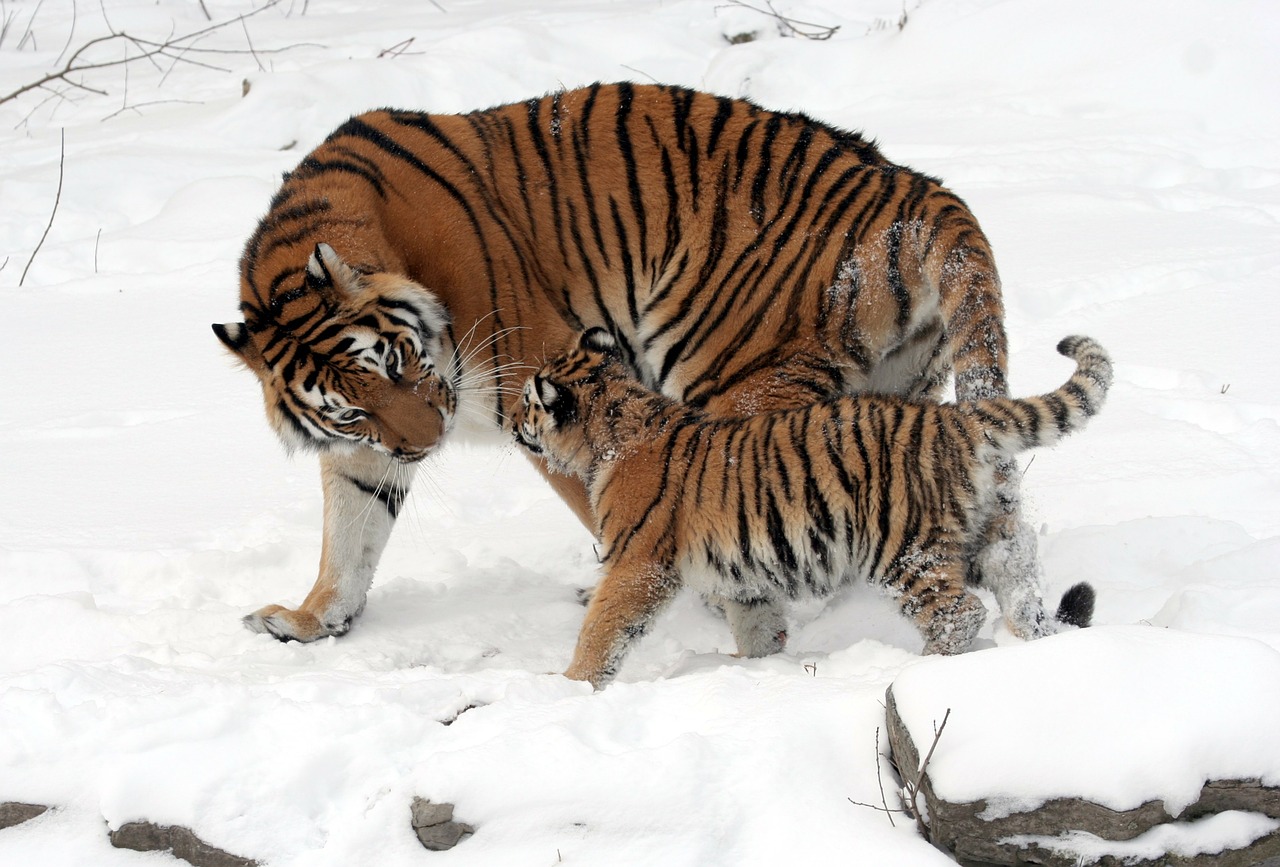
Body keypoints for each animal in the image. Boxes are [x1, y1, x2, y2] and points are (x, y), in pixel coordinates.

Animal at [220, 82, 1054, 642]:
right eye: (349, 407)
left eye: (394, 360)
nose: (428, 444)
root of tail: (917, 188)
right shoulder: (369, 447)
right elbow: (351, 529)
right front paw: (311, 618)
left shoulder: (539, 377)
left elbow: (613, 503)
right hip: (897, 389)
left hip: (733, 375)